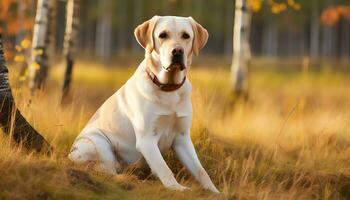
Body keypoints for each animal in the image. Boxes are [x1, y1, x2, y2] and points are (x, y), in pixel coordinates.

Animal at [68, 16, 219, 193]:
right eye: (163, 35)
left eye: (186, 36)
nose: (177, 51)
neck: (168, 89)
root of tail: (69, 154)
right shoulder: (146, 139)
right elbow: (163, 167)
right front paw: (176, 188)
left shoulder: (182, 138)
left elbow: (200, 170)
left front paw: (215, 191)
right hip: (98, 143)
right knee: (107, 171)